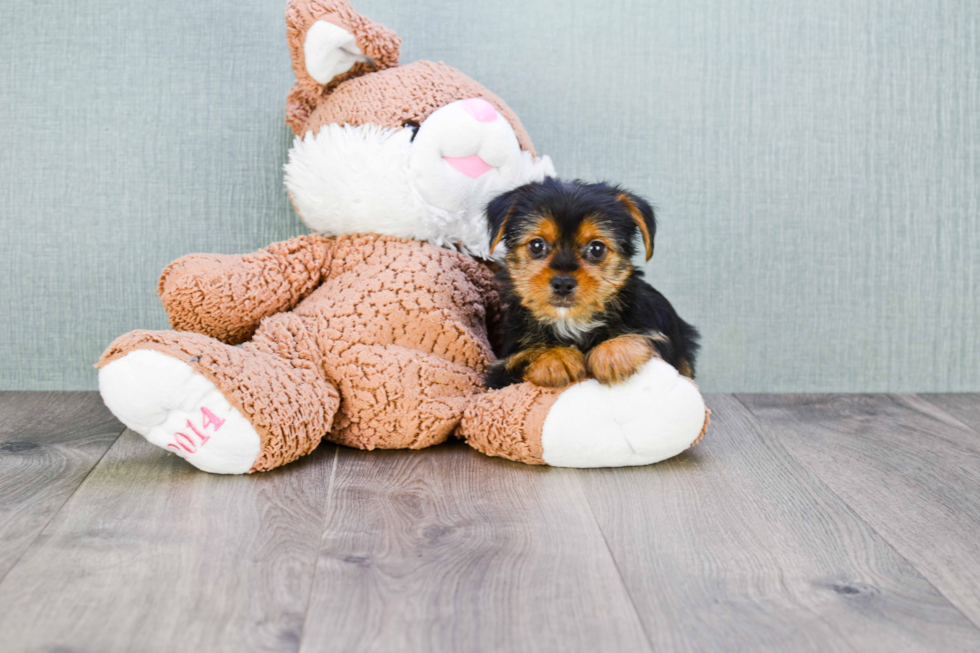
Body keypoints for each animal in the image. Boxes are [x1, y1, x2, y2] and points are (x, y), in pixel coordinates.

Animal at [482, 177, 696, 388]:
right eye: (536, 245)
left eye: (597, 248)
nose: (563, 283)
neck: (570, 323)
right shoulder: (500, 371)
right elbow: (518, 358)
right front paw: (554, 356)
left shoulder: (659, 338)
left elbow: (646, 337)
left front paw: (613, 352)